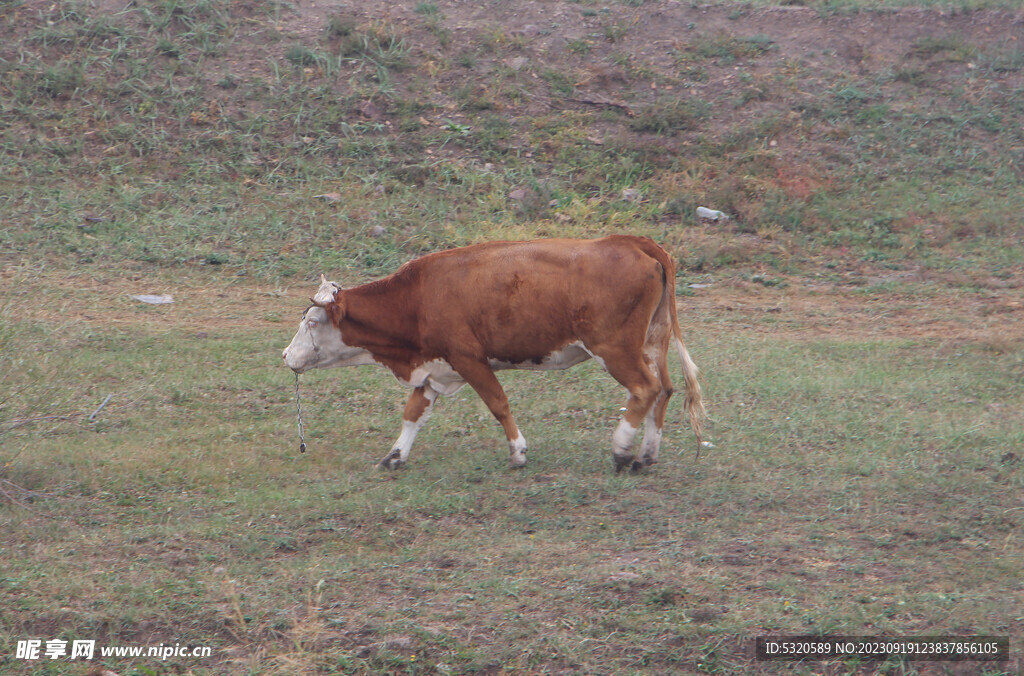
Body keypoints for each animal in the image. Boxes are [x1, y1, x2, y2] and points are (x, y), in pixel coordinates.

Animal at [282, 236, 704, 469]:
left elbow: (498, 403)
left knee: (645, 389)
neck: (416, 298)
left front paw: (518, 452)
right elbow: (413, 414)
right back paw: (646, 455)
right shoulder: (436, 367)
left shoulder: (469, 359)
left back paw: (621, 450)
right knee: (665, 389)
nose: (286, 356)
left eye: (313, 322)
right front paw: (395, 456)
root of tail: (629, 240)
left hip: (614, 348)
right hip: (651, 341)